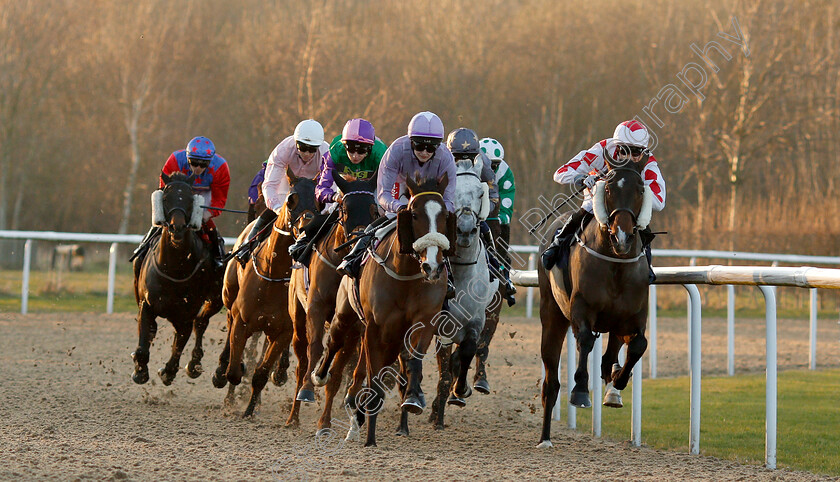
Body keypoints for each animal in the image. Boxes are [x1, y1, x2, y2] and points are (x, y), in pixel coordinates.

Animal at [131, 171, 223, 386]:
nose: (177, 227)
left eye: (190, 199)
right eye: (165, 198)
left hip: (215, 300)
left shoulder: (185, 316)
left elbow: (179, 346)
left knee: (201, 323)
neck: (174, 271)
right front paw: (140, 370)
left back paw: (194, 364)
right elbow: (144, 339)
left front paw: (168, 372)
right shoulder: (147, 305)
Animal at [212, 169, 316, 422]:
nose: (306, 230)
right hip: (229, 298)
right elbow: (234, 370)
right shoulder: (242, 321)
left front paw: (250, 410)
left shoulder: (283, 331)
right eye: (291, 200)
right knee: (229, 330)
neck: (273, 274)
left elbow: (260, 373)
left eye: (319, 201)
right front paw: (229, 373)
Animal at [290, 170, 378, 434]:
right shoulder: (316, 307)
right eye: (344, 209)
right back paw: (292, 415)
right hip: (297, 316)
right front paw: (308, 389)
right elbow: (316, 348)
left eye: (374, 210)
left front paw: (324, 423)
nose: (359, 240)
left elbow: (337, 372)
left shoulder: (355, 325)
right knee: (301, 362)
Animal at [540, 155, 656, 448]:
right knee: (551, 379)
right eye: (609, 189)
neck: (616, 263)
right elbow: (585, 340)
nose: (623, 237)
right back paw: (545, 437)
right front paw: (581, 390)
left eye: (641, 189)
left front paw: (617, 383)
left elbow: (638, 345)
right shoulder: (582, 308)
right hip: (552, 313)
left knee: (610, 353)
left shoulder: (633, 316)